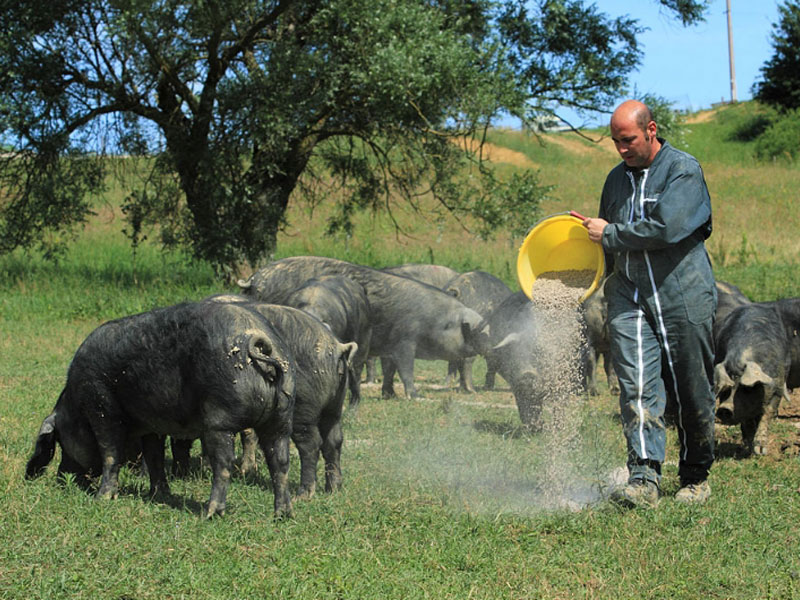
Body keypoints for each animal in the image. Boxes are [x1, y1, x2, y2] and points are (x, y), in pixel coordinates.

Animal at [24, 302, 296, 516]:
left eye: (60, 441)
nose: (63, 479)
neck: (76, 405)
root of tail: (258, 339)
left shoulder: (101, 408)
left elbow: (110, 452)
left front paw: (102, 498)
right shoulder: (151, 425)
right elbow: (154, 456)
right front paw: (159, 495)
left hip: (221, 419)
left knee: (224, 463)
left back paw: (210, 513)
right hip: (281, 417)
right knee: (280, 462)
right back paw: (282, 515)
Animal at [712, 298, 800, 458]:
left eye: (746, 388)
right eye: (725, 389)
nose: (724, 408)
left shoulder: (777, 385)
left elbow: (767, 414)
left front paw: (761, 451)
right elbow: (747, 422)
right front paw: (749, 449)